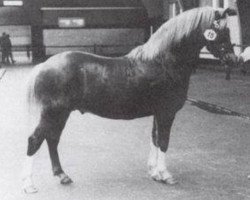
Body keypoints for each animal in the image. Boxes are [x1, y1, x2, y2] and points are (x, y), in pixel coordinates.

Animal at [21, 7, 236, 193]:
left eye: (228, 30)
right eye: (221, 30)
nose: (233, 59)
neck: (163, 62)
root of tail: (44, 65)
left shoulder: (157, 114)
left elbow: (155, 139)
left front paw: (154, 173)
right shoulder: (166, 113)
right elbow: (164, 141)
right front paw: (165, 175)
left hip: (61, 114)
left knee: (52, 140)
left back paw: (62, 176)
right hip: (52, 113)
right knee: (35, 140)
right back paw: (29, 185)